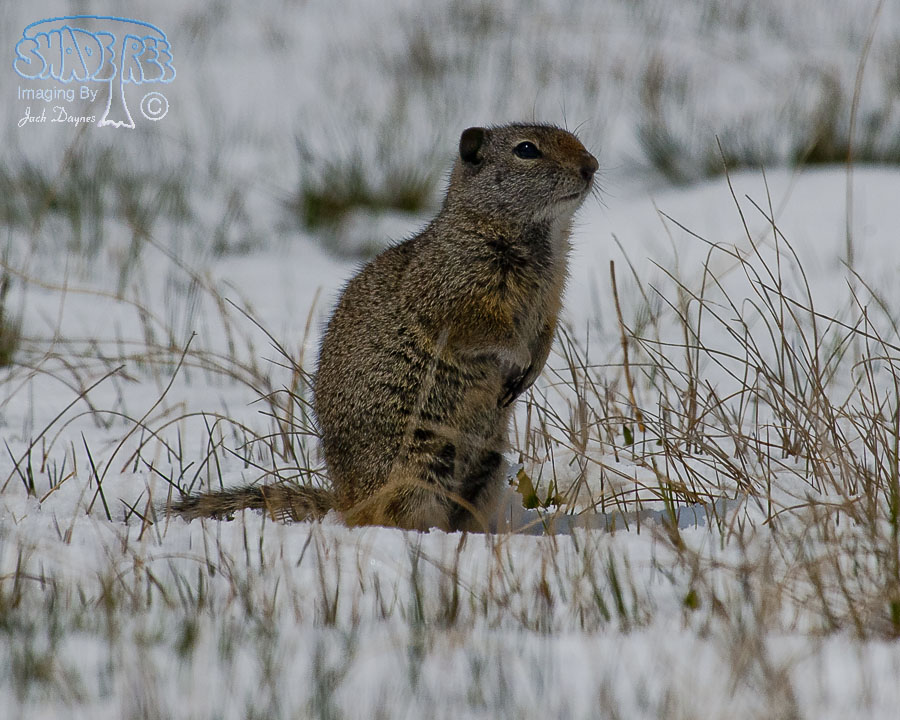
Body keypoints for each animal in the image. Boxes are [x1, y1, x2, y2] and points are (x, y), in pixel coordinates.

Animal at [170, 123, 598, 531]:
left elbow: (546, 333)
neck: (543, 242)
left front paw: (533, 368)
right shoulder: (455, 292)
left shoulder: (551, 297)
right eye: (526, 149)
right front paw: (519, 356)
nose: (591, 165)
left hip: (487, 470)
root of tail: (344, 500)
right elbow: (484, 329)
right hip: (416, 468)